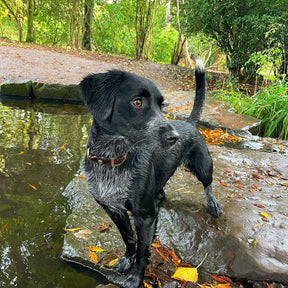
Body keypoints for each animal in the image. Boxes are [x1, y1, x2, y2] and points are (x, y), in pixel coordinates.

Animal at [79, 59, 223, 286]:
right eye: (137, 102)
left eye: (161, 105)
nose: (174, 137)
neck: (114, 159)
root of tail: (189, 124)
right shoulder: (113, 209)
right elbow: (129, 238)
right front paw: (126, 259)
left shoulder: (145, 216)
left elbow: (142, 251)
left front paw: (136, 279)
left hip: (203, 165)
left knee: (208, 183)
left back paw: (213, 203)